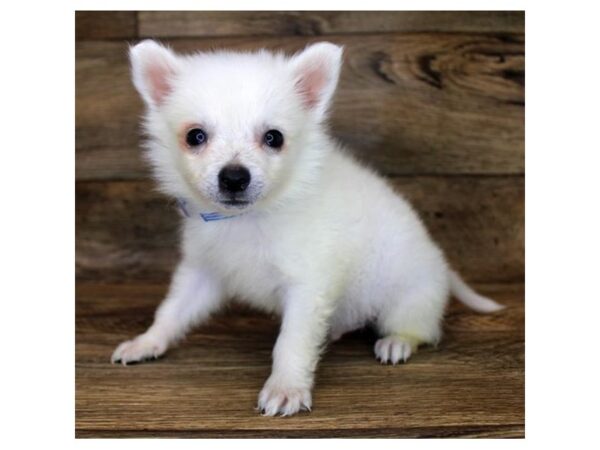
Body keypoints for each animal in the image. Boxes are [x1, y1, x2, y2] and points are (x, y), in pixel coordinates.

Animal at [111, 40, 502, 416]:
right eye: (195, 136)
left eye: (274, 137)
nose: (234, 178)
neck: (248, 218)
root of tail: (442, 268)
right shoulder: (203, 271)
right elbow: (171, 311)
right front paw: (147, 341)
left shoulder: (307, 286)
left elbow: (291, 342)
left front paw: (286, 388)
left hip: (408, 298)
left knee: (417, 328)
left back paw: (397, 343)